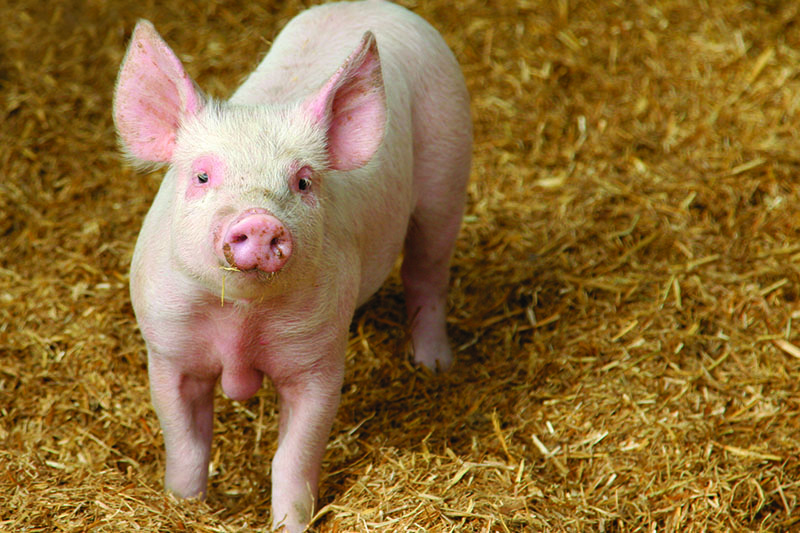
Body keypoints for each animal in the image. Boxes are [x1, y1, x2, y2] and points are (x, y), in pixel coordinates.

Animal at [113, 0, 471, 531]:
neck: (242, 320)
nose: (260, 221)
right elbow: (187, 445)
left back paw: (433, 366)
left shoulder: (316, 361)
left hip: (448, 174)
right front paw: (183, 505)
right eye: (202, 175)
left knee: (427, 274)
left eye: (302, 181)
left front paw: (291, 523)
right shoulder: (169, 351)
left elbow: (293, 457)